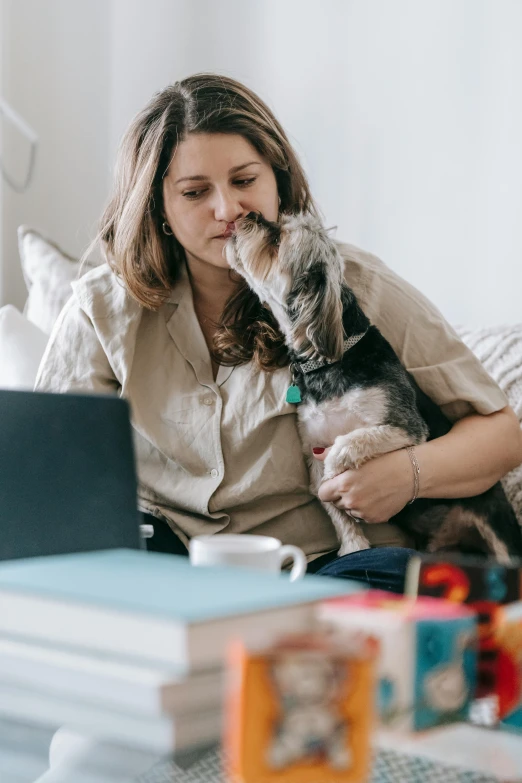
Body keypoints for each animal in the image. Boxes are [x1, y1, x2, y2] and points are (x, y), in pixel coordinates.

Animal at [225, 208, 520, 564]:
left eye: (277, 239)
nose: (249, 215)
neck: (331, 362)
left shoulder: (404, 427)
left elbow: (350, 443)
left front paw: (337, 470)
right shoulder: (312, 448)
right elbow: (335, 511)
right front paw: (354, 546)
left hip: (498, 530)